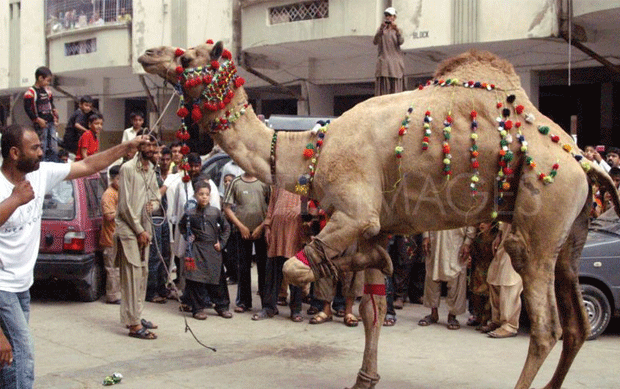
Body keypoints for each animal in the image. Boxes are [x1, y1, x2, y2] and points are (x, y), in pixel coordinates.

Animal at [139, 40, 620, 388]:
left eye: (187, 55)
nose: (147, 54)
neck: (311, 148)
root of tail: (581, 159)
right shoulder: (377, 225)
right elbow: (373, 304)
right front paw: (364, 378)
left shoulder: (357, 213)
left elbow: (297, 265)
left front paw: (339, 272)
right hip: (571, 234)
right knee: (576, 324)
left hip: (540, 214)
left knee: (545, 325)